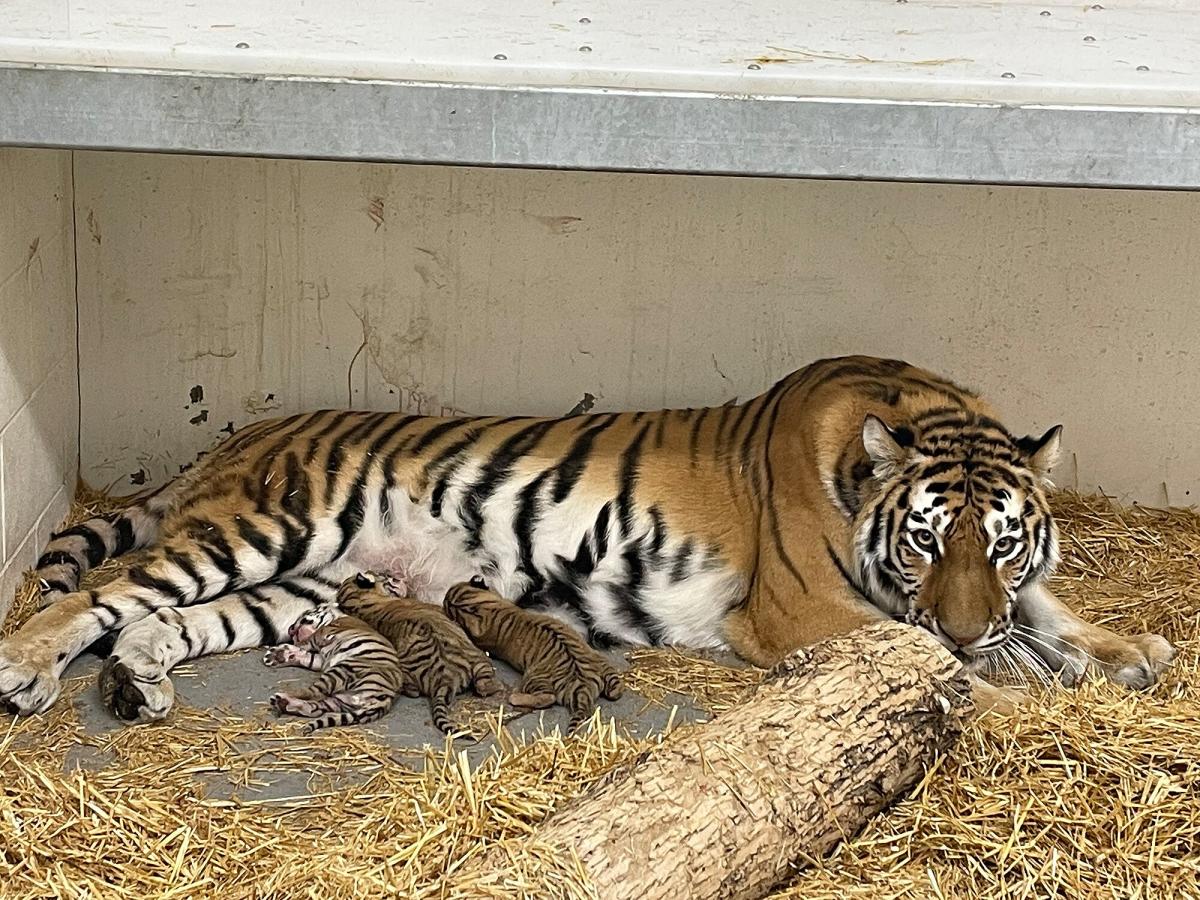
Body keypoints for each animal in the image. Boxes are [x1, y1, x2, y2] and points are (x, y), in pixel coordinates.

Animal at [0, 355, 1171, 724]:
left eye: (1002, 543)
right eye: (925, 543)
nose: (971, 627)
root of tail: (240, 436)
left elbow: (1051, 609)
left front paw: (1127, 652)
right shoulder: (805, 608)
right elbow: (943, 665)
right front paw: (1013, 693)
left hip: (314, 584)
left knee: (163, 621)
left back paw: (138, 683)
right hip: (268, 525)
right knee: (96, 598)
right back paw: (27, 671)